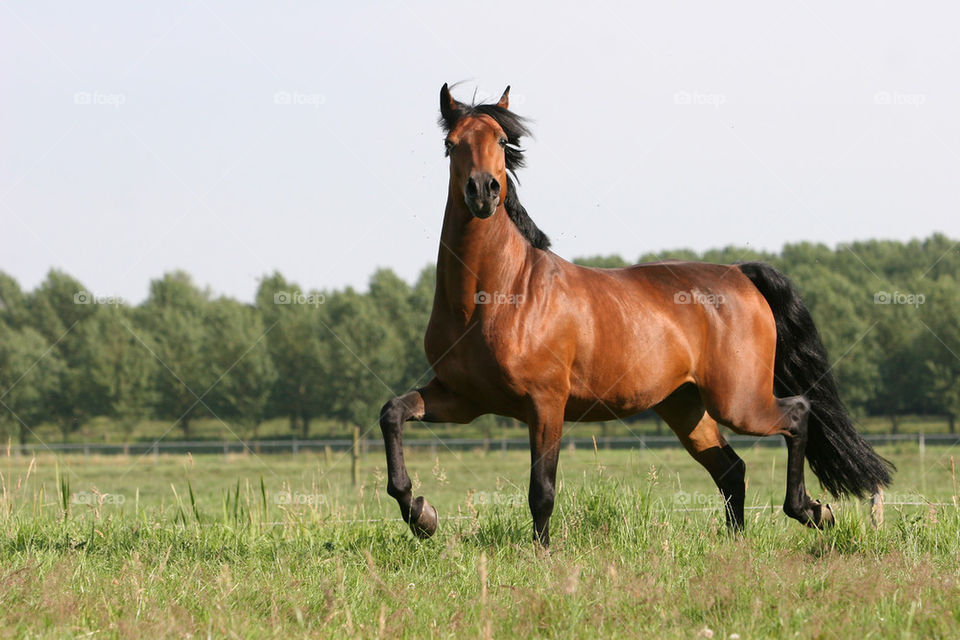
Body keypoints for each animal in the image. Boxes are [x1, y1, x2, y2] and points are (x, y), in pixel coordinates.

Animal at [378, 84, 896, 544]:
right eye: (450, 144)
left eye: (503, 142)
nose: (483, 192)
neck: (492, 298)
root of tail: (740, 274)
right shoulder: (464, 398)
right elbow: (393, 414)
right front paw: (421, 515)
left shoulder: (545, 404)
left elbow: (541, 490)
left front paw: (542, 556)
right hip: (685, 406)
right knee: (732, 468)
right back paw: (738, 543)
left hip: (739, 401)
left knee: (798, 414)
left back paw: (811, 511)